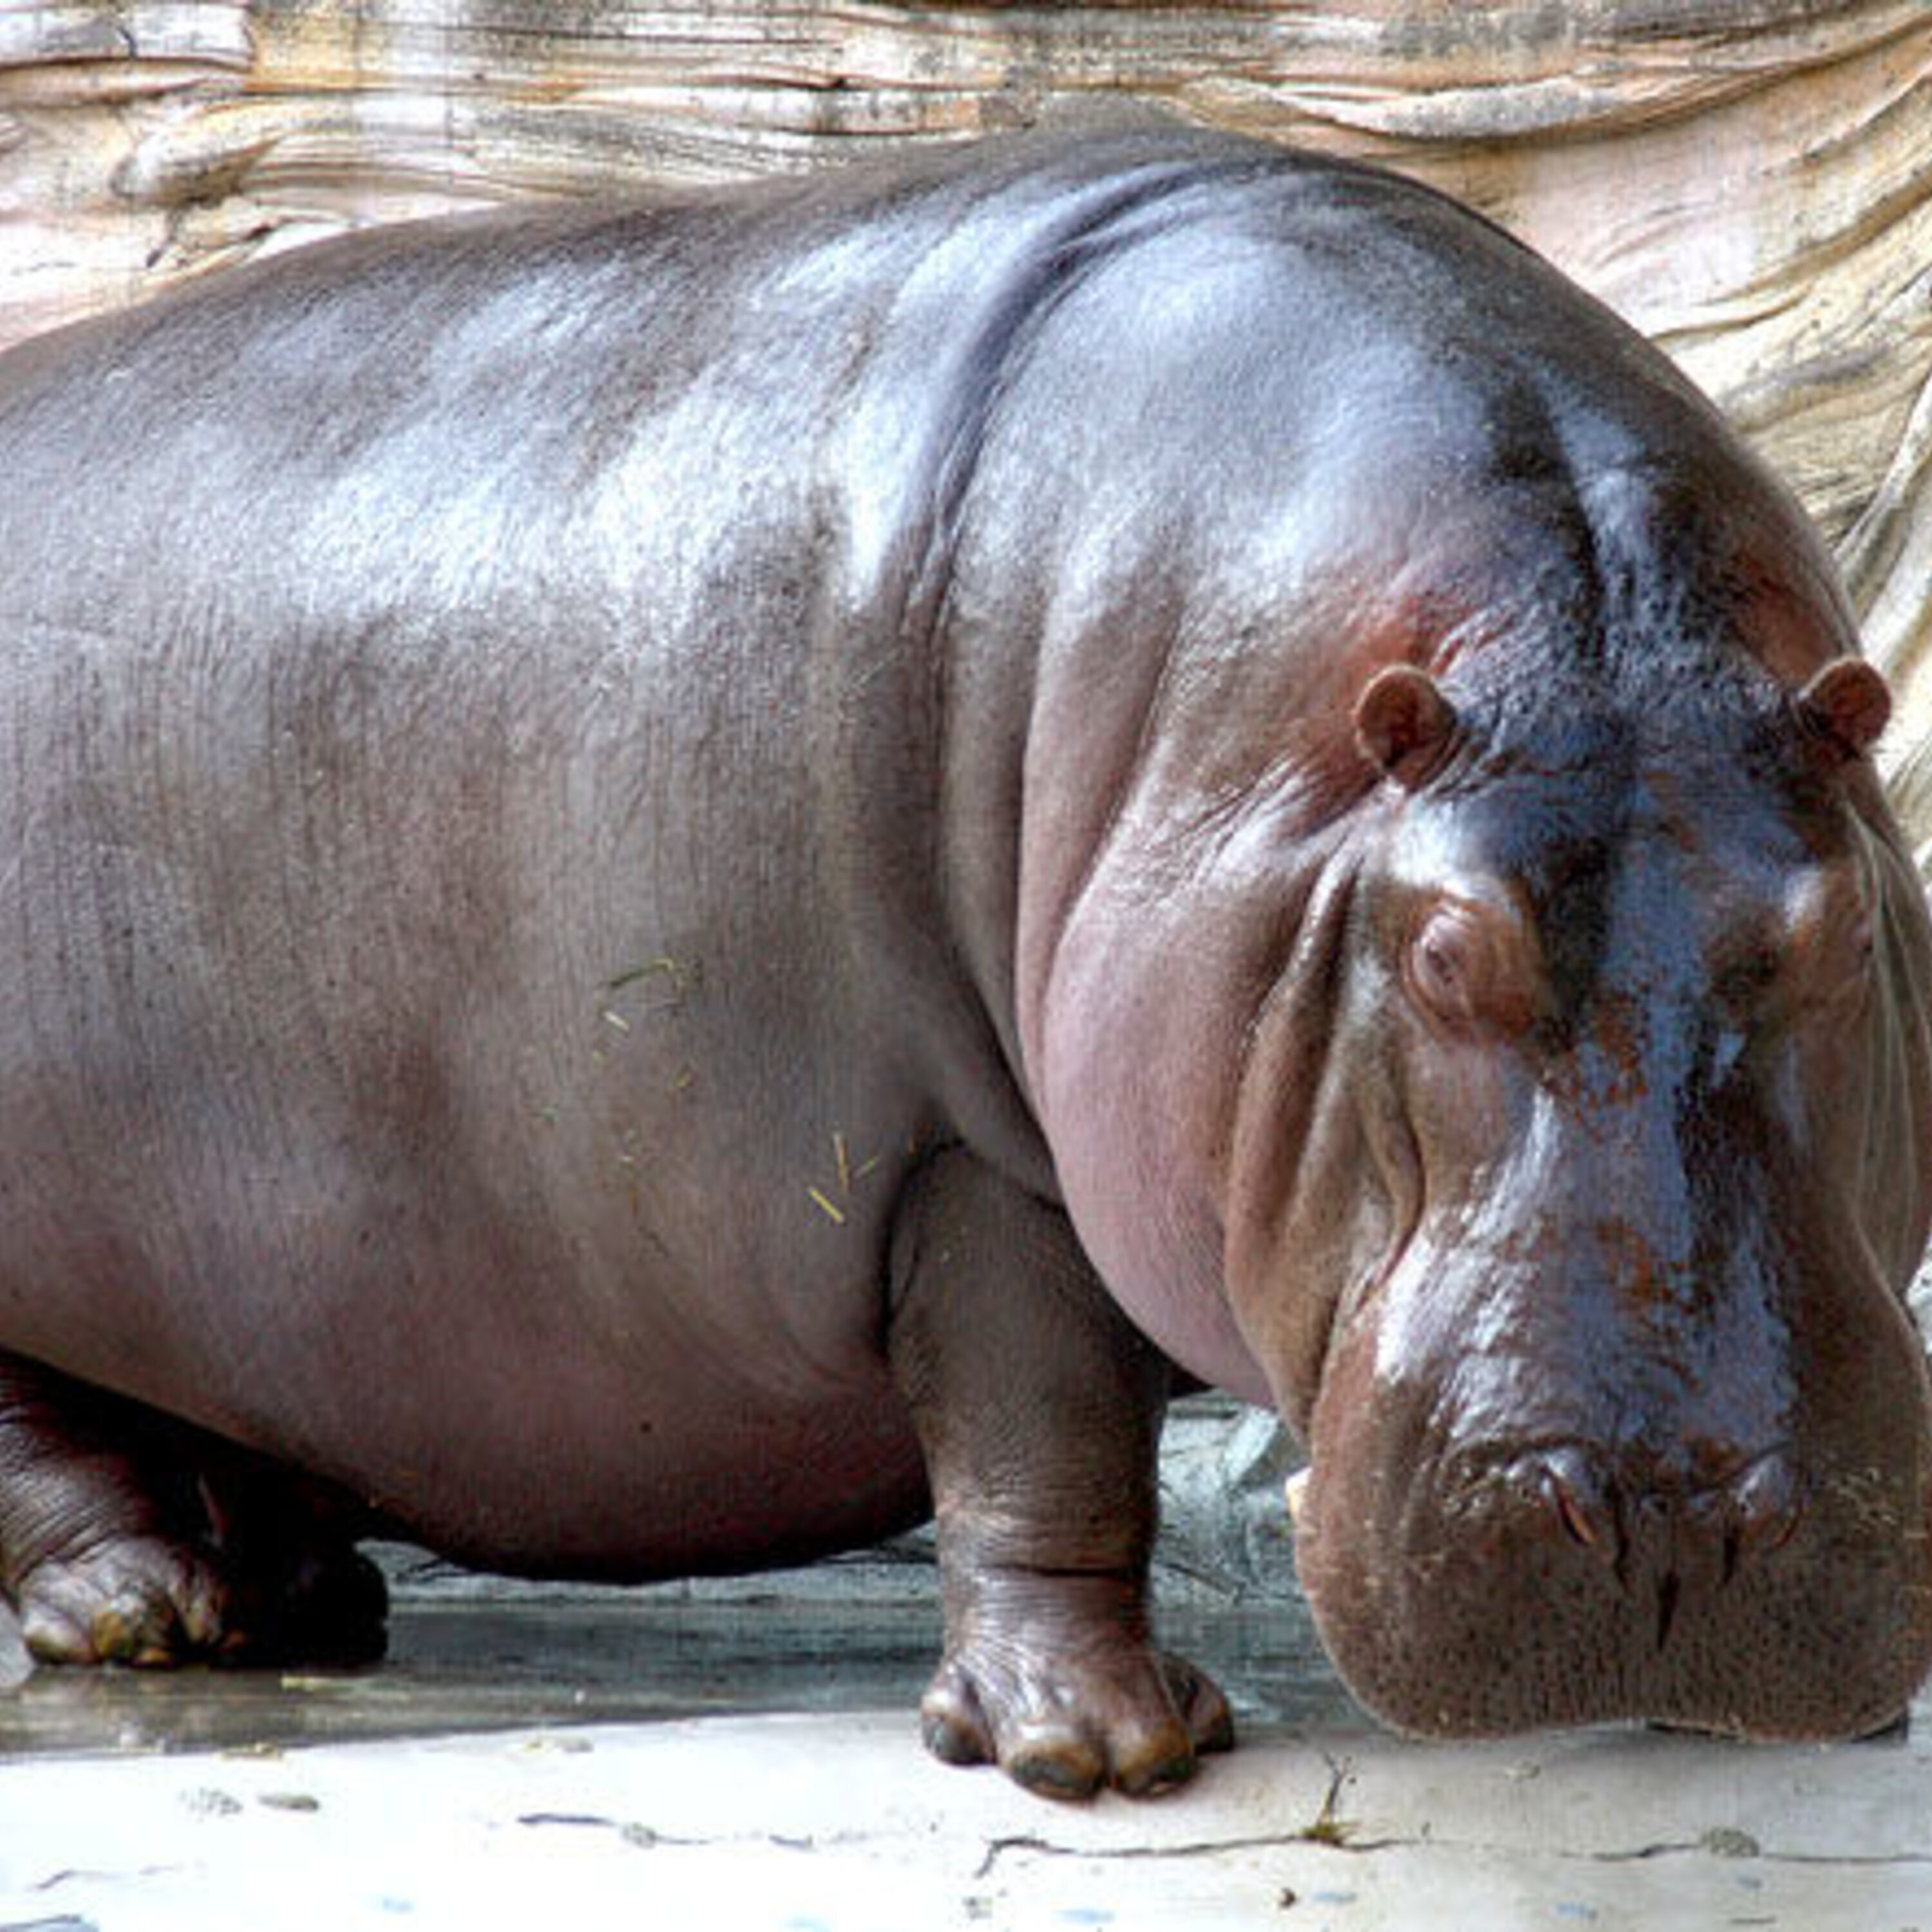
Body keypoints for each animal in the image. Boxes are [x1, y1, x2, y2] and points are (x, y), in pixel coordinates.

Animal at [1, 124, 1929, 1799]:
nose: (1670, 1520)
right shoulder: (978, 1155)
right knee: (40, 1441)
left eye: (1839, 932)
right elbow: (1047, 1437)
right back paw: (143, 1612)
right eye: (1444, 953)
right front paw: (1097, 1752)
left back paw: (303, 1599)